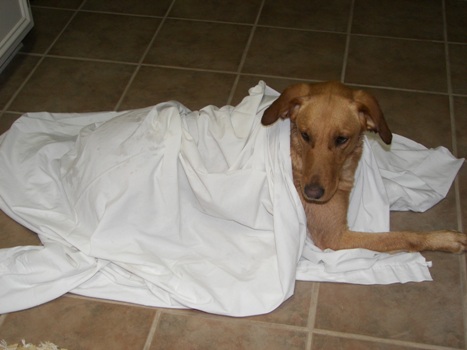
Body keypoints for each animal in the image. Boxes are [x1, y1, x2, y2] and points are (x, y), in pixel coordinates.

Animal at [264, 81, 467, 253]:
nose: (312, 194)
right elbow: (401, 236)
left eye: (341, 139)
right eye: (305, 135)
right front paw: (444, 238)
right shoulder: (335, 237)